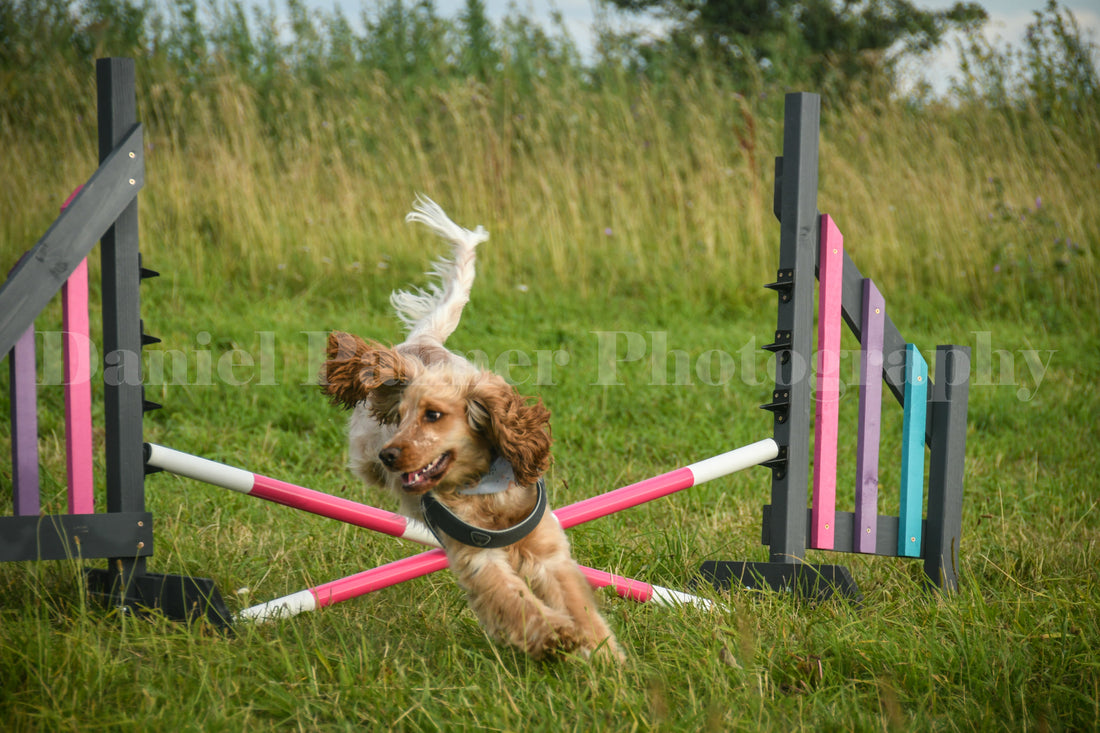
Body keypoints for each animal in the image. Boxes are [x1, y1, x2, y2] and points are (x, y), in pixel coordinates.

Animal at [321, 197, 624, 660]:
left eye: (433, 415)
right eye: (400, 416)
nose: (390, 456)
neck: (486, 488)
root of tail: (422, 344)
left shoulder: (548, 550)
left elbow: (577, 602)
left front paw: (608, 657)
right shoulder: (477, 559)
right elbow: (515, 601)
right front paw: (556, 635)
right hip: (363, 450)